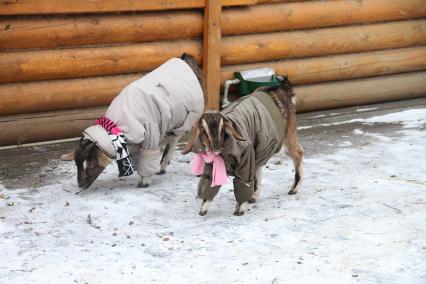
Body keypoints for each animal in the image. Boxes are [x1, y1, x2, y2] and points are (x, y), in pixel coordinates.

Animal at [181, 76, 304, 216]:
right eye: (203, 130)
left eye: (222, 128)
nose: (216, 146)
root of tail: (281, 90)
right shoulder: (213, 165)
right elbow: (209, 183)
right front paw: (203, 209)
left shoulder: (245, 159)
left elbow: (243, 182)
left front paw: (240, 209)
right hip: (263, 144)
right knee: (259, 164)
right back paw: (254, 195)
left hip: (285, 136)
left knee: (298, 153)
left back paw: (294, 189)